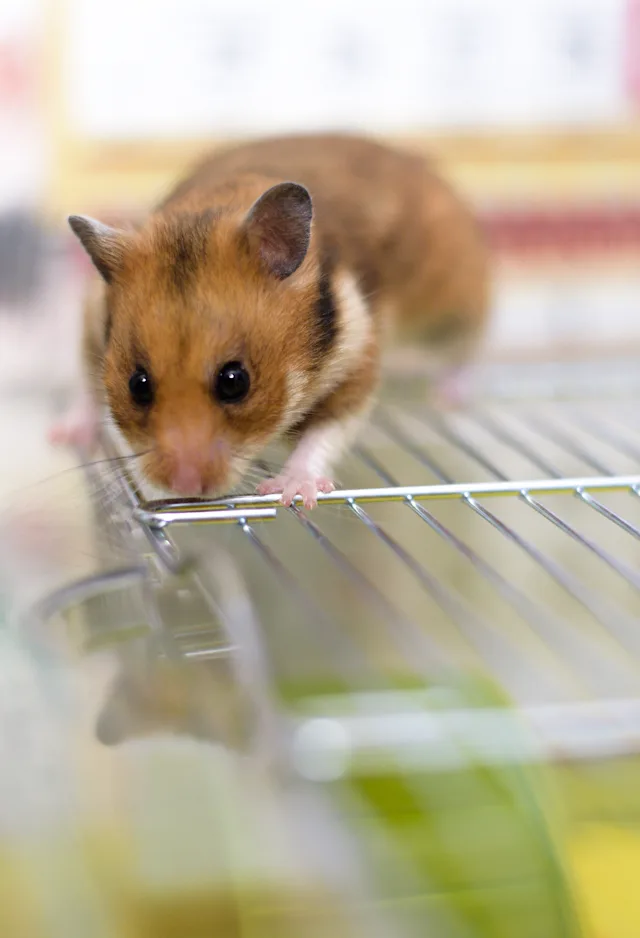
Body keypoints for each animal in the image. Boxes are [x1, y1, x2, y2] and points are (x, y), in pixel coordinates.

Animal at [52, 134, 490, 508]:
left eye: (235, 381)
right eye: (137, 385)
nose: (185, 486)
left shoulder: (357, 361)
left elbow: (325, 431)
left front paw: (290, 493)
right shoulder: (92, 319)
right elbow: (86, 386)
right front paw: (64, 435)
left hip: (454, 306)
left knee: (469, 347)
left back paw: (448, 394)